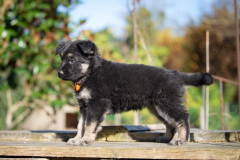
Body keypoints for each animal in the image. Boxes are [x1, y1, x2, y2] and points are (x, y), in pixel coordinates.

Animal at [55, 39, 213, 146]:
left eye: (72, 60)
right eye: (61, 59)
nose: (59, 73)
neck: (91, 72)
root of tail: (176, 74)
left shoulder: (96, 105)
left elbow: (89, 125)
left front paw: (85, 140)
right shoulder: (84, 106)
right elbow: (80, 124)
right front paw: (77, 139)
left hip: (167, 103)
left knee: (182, 118)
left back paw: (181, 140)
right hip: (157, 108)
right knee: (170, 123)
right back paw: (166, 138)